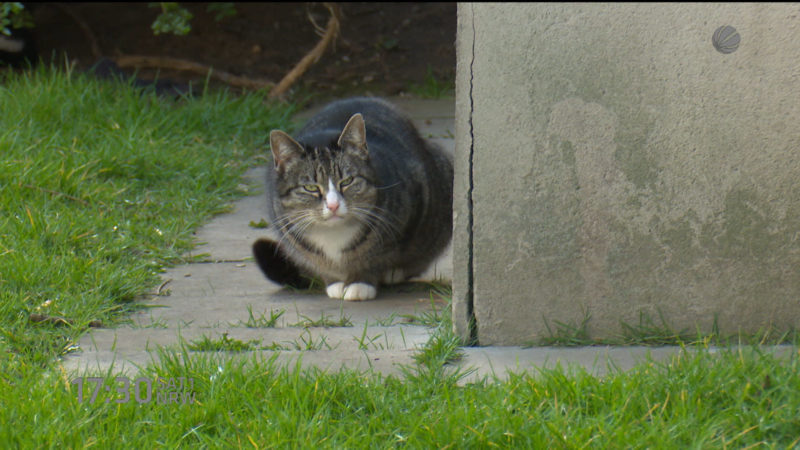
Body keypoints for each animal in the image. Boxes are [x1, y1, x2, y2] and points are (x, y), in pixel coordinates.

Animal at [252, 98, 450, 302]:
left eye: (347, 181)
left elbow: (377, 256)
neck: (333, 234)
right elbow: (320, 263)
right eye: (311, 188)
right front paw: (335, 282)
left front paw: (360, 283)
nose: (333, 205)